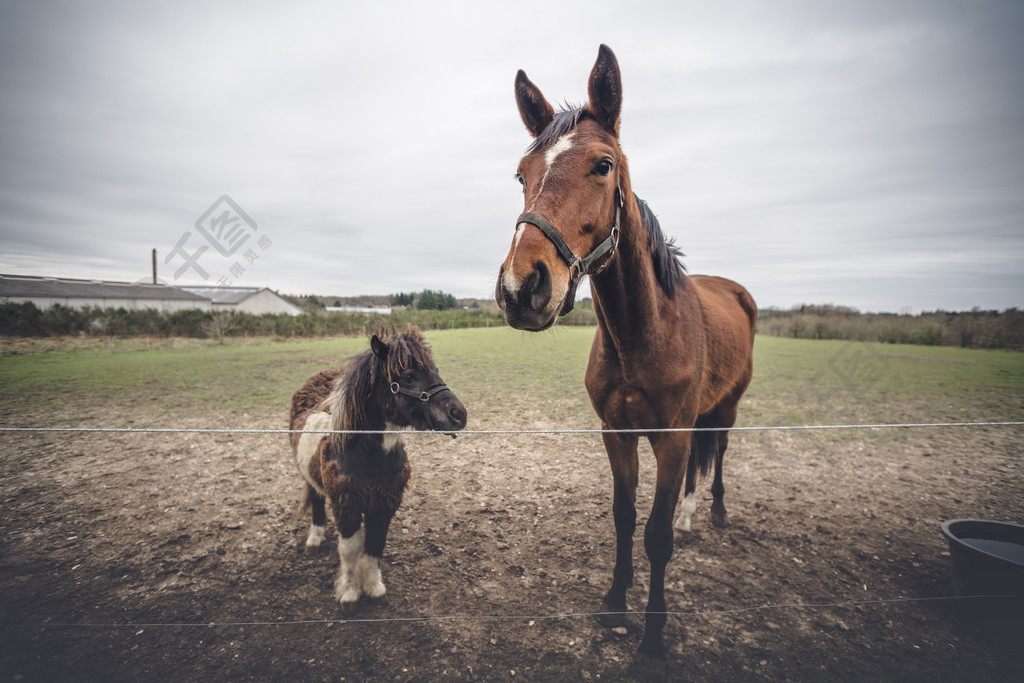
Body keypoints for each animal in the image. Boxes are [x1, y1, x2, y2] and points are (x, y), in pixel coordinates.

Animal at [286, 327, 466, 614]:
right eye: (408, 375)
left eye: (435, 369)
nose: (459, 414)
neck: (368, 456)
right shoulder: (345, 504)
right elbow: (349, 549)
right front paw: (349, 593)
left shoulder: (384, 504)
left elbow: (374, 545)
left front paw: (373, 588)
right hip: (308, 475)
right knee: (315, 499)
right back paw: (314, 539)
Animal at [495, 46, 761, 667]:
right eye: (521, 174)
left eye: (602, 165)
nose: (522, 288)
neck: (642, 335)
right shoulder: (616, 433)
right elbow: (624, 518)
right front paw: (616, 603)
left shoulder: (670, 437)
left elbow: (655, 537)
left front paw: (653, 639)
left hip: (727, 407)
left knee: (718, 453)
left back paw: (713, 511)